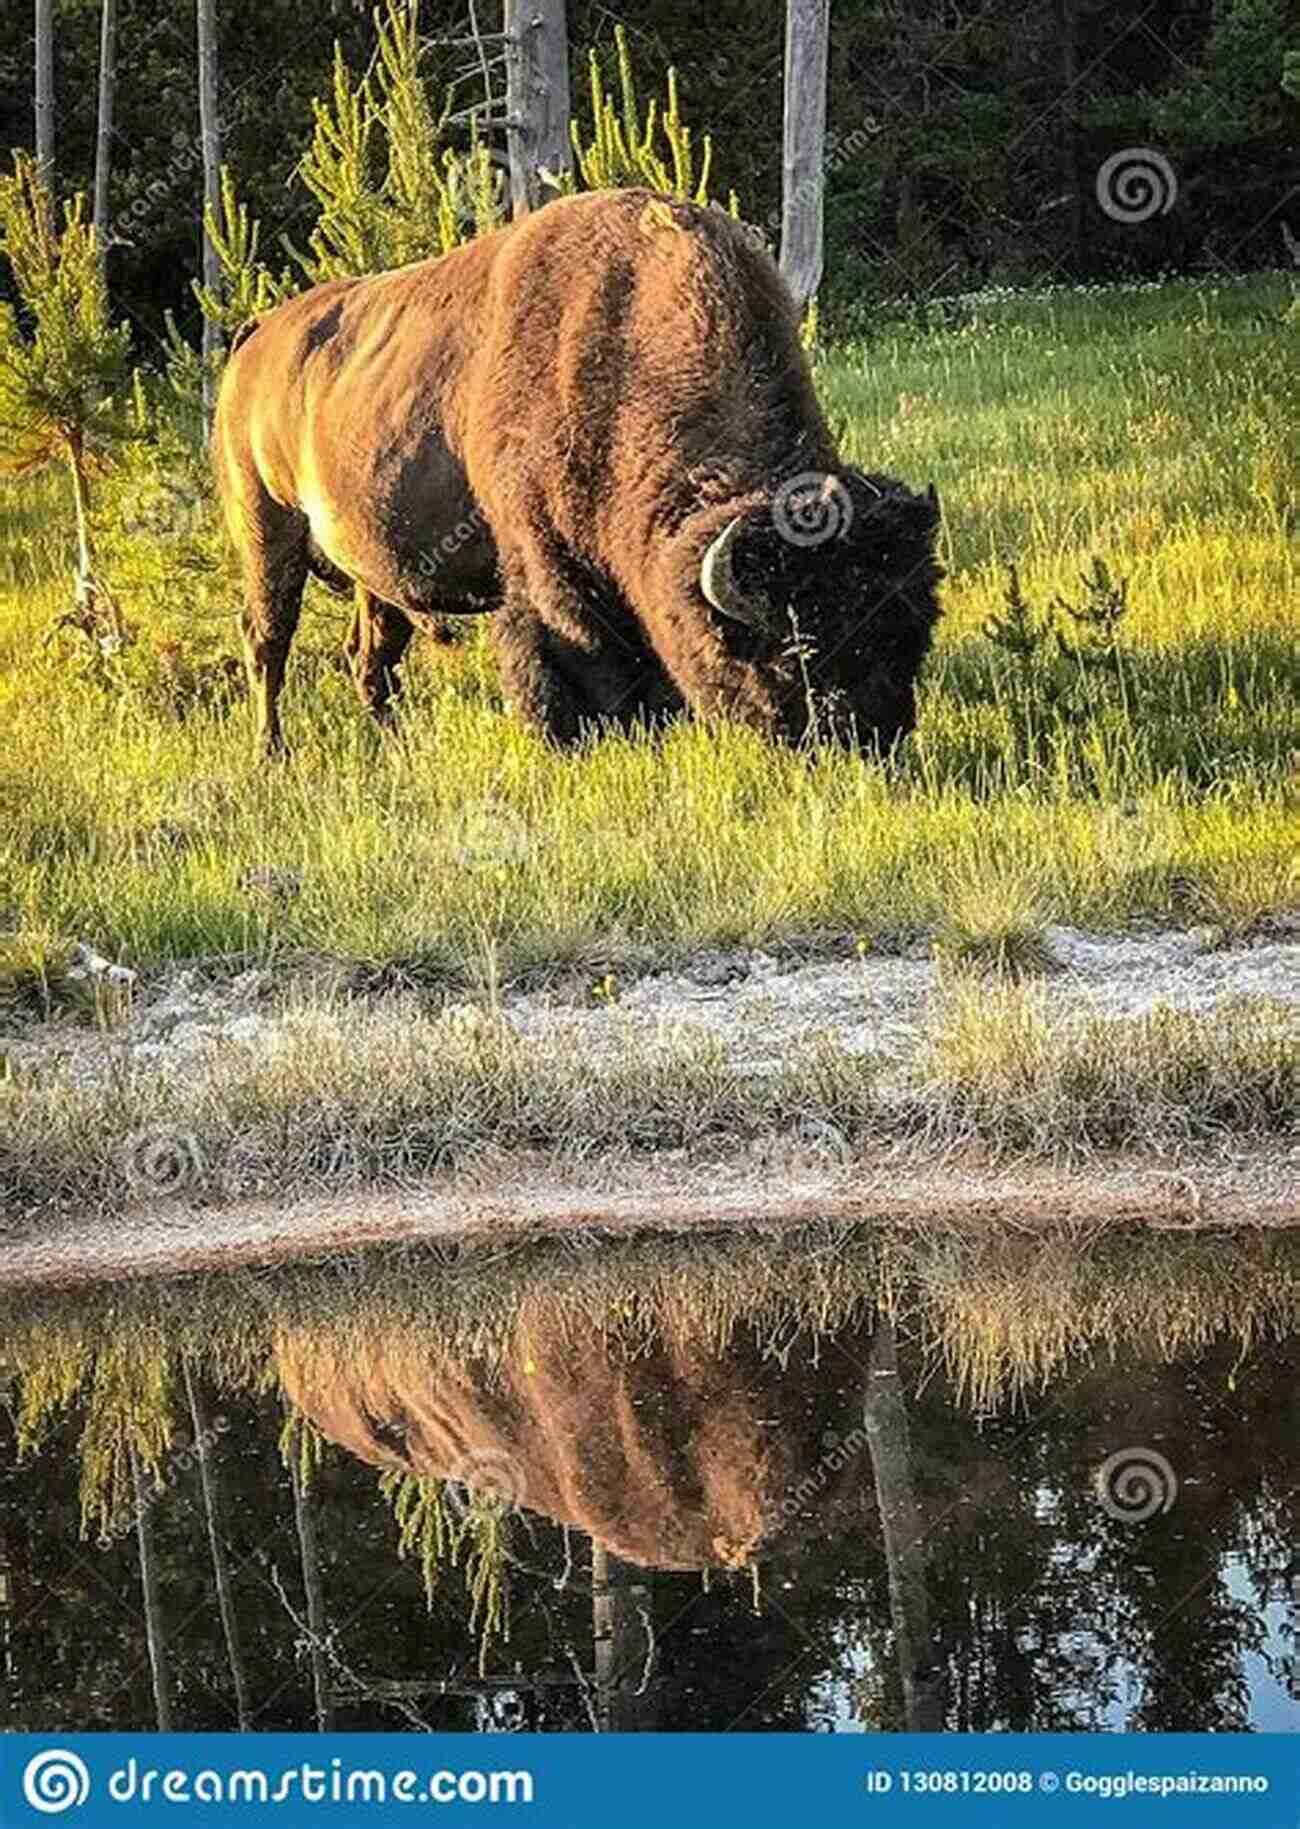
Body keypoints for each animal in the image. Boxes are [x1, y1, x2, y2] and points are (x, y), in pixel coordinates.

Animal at [213, 187, 943, 757]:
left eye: (910, 631)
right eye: (796, 653)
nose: (873, 739)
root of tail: (256, 337)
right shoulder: (547, 569)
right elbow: (571, 657)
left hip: (371, 573)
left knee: (370, 657)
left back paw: (393, 745)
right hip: (266, 530)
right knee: (267, 641)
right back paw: (271, 753)